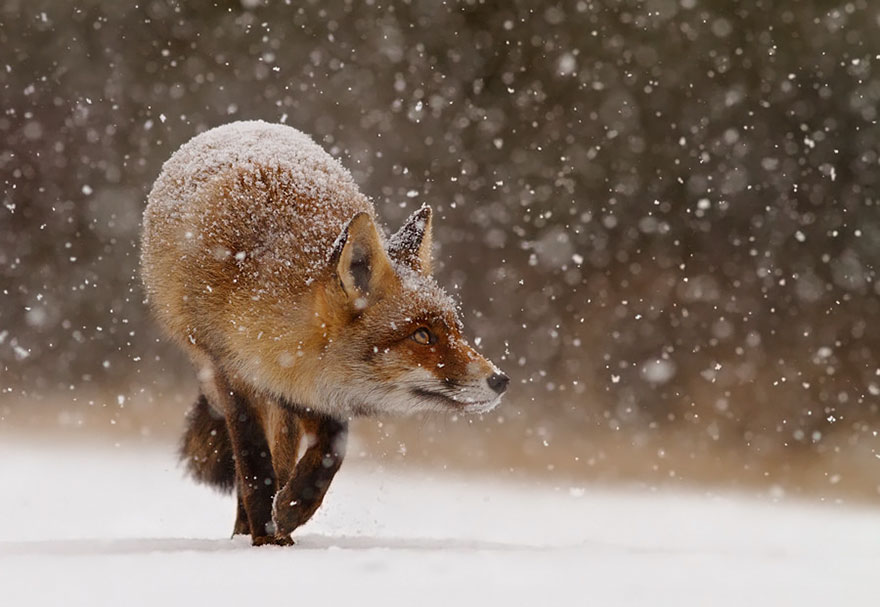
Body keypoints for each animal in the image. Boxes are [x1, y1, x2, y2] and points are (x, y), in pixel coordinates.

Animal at [141, 120, 508, 545]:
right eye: (421, 336)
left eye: (455, 329)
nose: (500, 379)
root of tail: (243, 124)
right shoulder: (230, 375)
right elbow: (253, 466)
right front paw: (264, 537)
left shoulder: (311, 390)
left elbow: (332, 450)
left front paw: (292, 509)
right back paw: (246, 531)